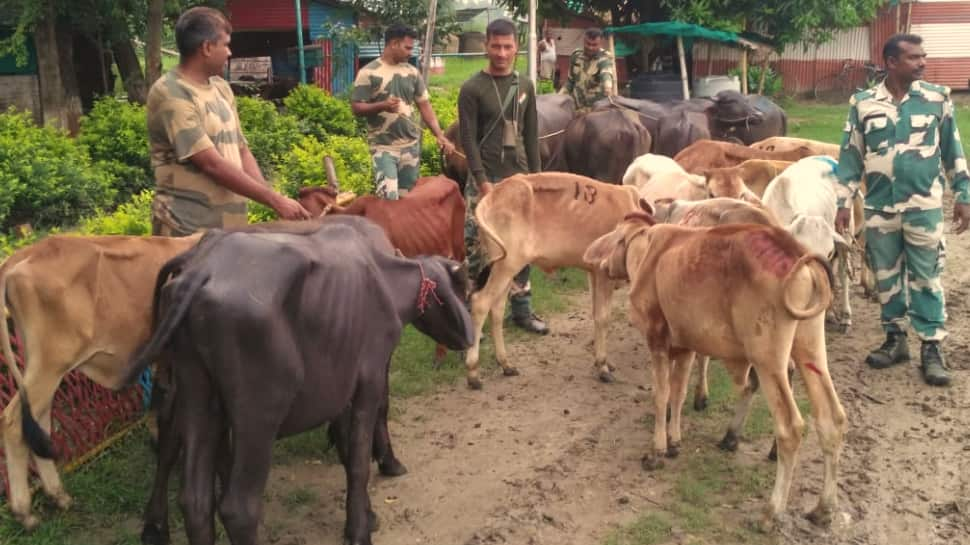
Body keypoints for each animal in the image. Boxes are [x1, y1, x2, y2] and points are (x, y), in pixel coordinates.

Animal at [0, 233, 200, 528]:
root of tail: (22, 255)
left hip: (42, 368)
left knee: (38, 424)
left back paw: (57, 495)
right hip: (50, 364)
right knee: (13, 423)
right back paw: (24, 511)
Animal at [466, 172, 640, 388]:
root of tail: (495, 192)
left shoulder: (592, 273)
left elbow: (595, 314)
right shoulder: (603, 274)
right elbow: (603, 317)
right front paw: (603, 366)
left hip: (505, 267)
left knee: (496, 309)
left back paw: (506, 364)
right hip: (507, 264)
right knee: (480, 303)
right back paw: (473, 373)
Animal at [588, 207, 844, 524]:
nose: (602, 263)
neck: (648, 253)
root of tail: (795, 251)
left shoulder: (657, 341)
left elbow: (661, 396)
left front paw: (657, 450)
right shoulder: (685, 347)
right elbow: (678, 393)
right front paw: (674, 442)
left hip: (768, 358)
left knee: (790, 427)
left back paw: (770, 512)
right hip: (810, 347)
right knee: (831, 418)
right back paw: (823, 507)